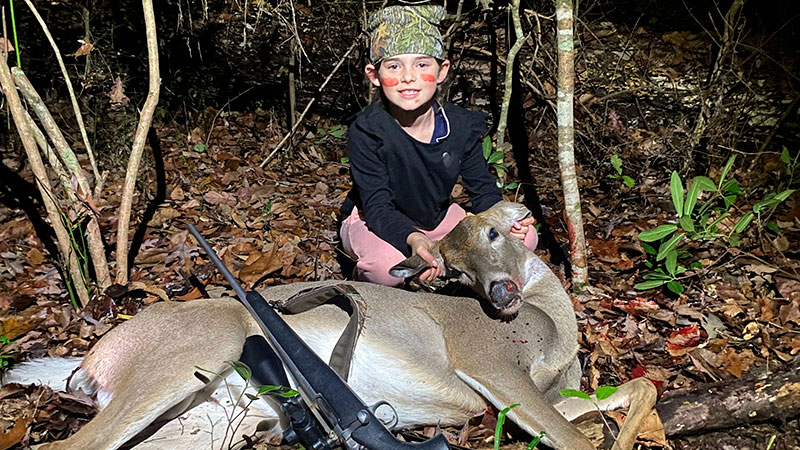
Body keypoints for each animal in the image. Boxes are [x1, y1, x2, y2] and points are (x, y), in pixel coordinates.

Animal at [4, 201, 656, 450]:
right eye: (455, 269)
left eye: (497, 233)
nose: (500, 294)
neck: (554, 330)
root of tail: (89, 361)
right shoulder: (488, 361)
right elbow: (577, 439)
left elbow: (639, 385)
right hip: (199, 349)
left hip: (207, 421)